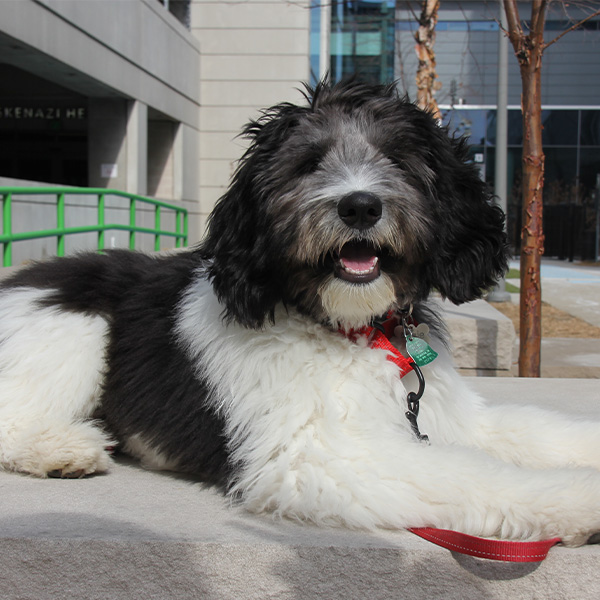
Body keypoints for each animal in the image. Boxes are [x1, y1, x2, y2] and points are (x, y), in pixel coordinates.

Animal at [1, 81, 600, 548]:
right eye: (308, 165)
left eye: (398, 160)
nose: (359, 205)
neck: (351, 330)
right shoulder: (316, 457)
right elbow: (476, 475)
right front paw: (582, 497)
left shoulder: (451, 418)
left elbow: (530, 430)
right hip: (72, 326)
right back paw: (64, 448)